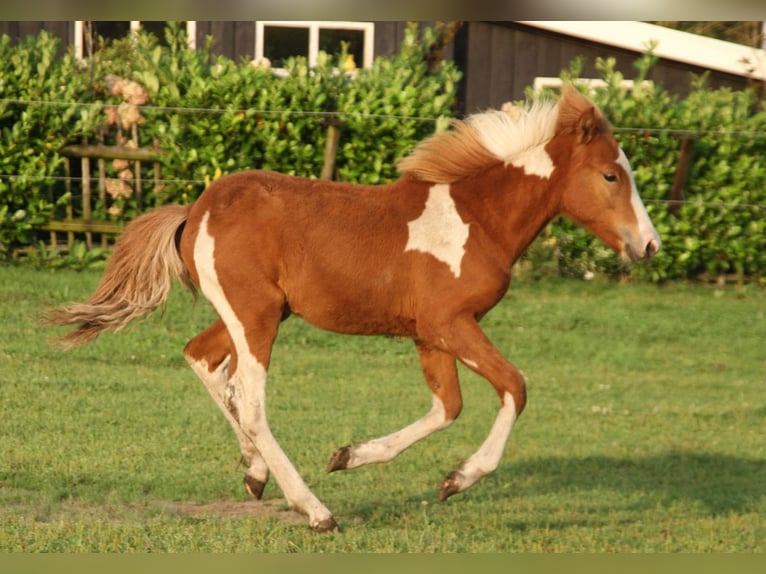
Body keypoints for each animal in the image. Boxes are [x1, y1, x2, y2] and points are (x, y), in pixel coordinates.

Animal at [46, 85, 661, 532]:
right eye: (610, 174)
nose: (649, 245)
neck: (477, 219)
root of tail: (195, 211)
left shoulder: (429, 333)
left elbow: (448, 406)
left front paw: (350, 456)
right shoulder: (449, 324)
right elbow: (514, 387)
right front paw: (458, 479)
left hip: (253, 314)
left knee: (203, 360)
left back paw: (255, 473)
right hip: (255, 316)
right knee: (249, 399)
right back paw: (315, 511)